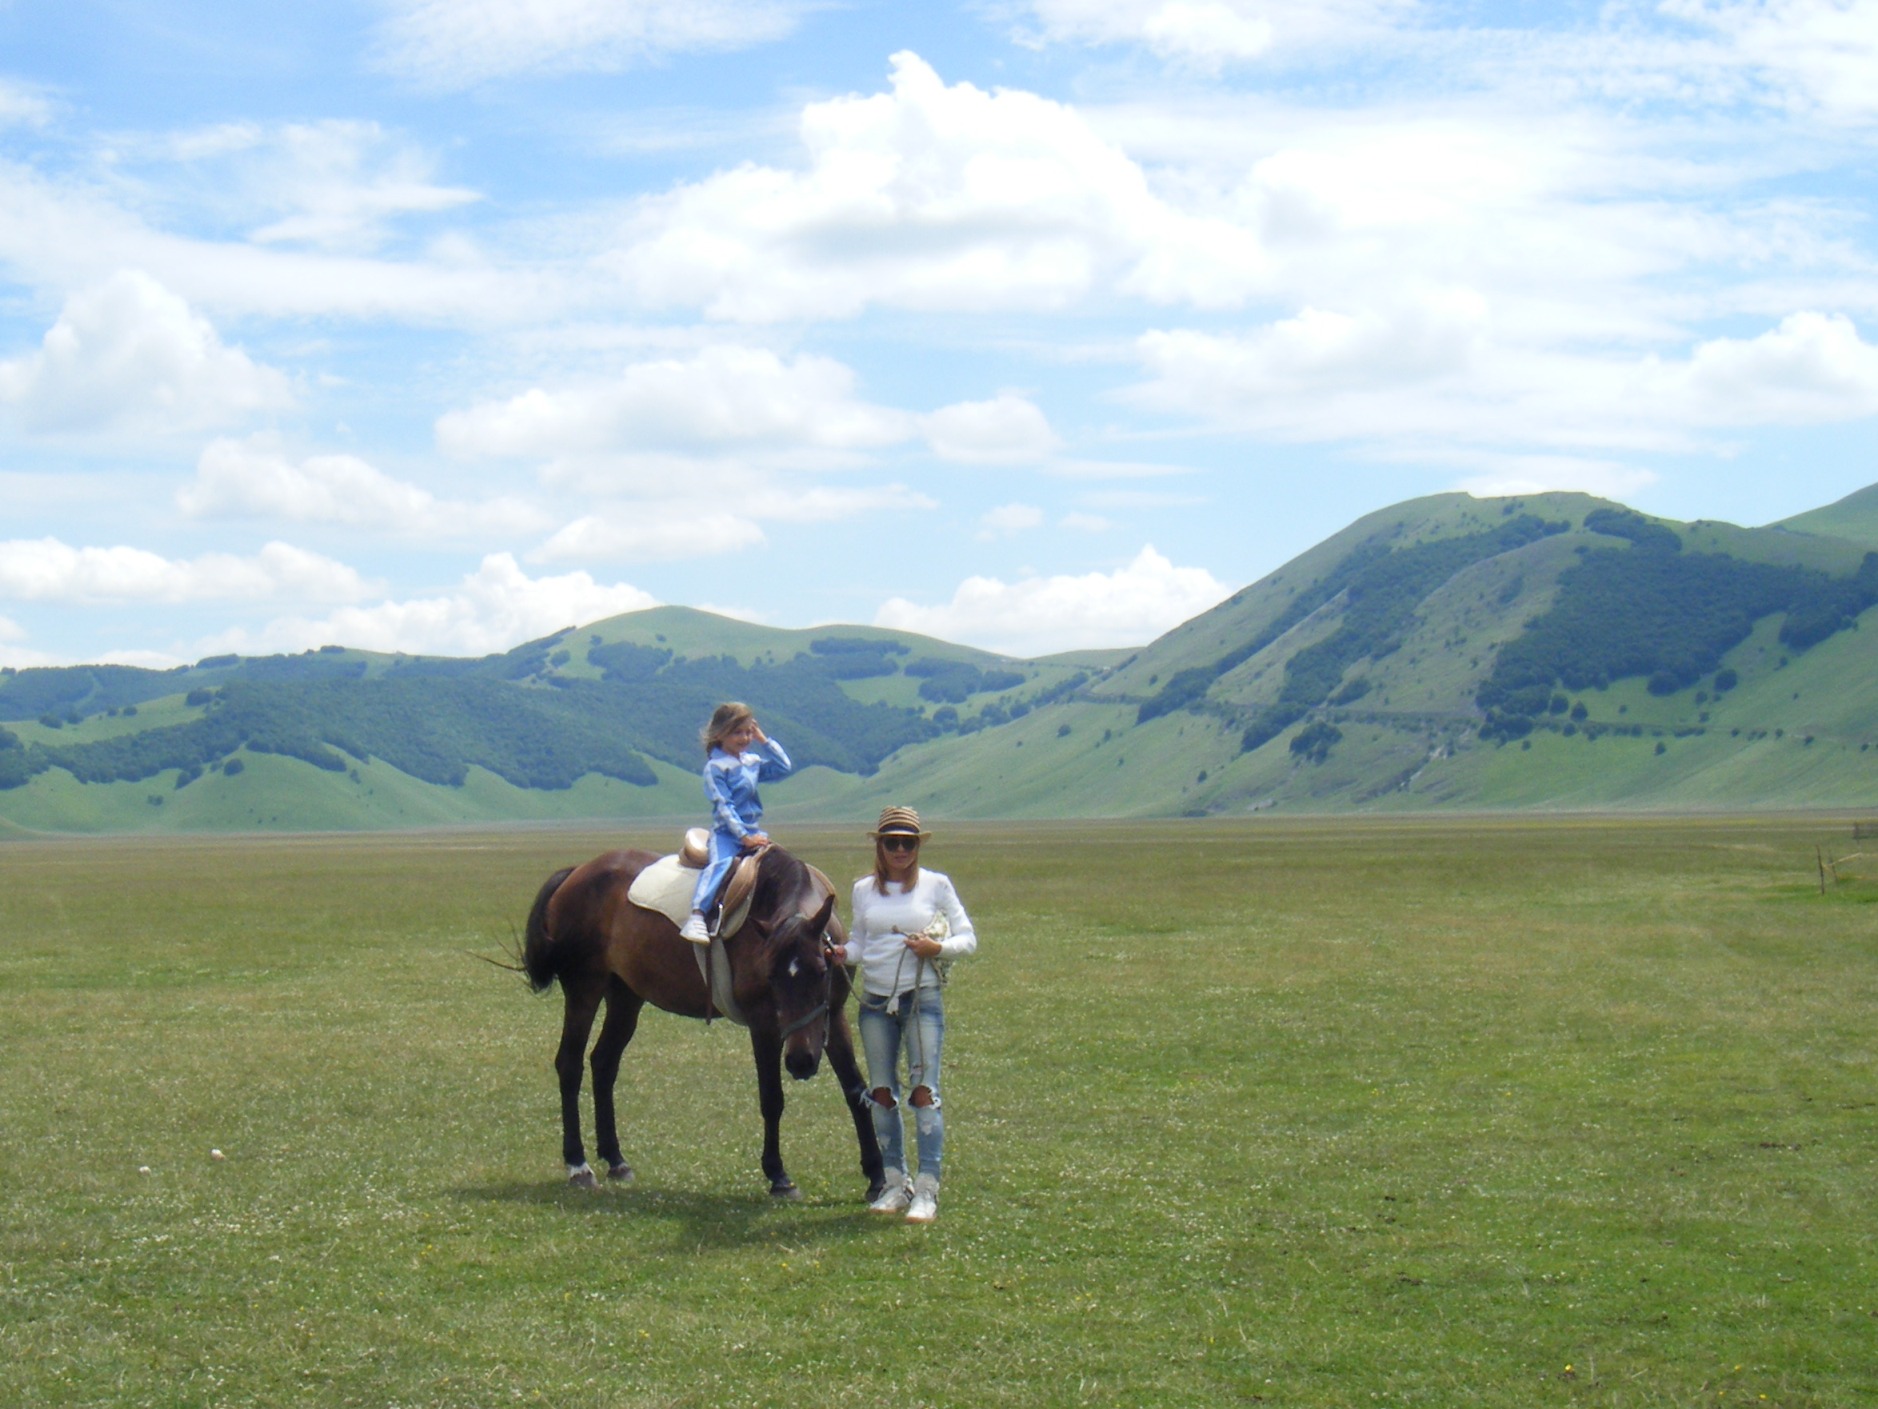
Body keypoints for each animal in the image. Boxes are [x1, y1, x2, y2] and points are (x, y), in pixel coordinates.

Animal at [522, 845, 886, 1209]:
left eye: (822, 971)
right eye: (771, 976)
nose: (800, 1061)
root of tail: (577, 871)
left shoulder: (833, 1015)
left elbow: (856, 1090)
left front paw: (877, 1176)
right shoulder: (764, 1024)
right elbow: (772, 1098)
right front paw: (778, 1176)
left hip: (626, 996)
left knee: (603, 1063)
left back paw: (615, 1159)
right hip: (584, 988)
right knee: (570, 1065)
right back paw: (578, 1165)